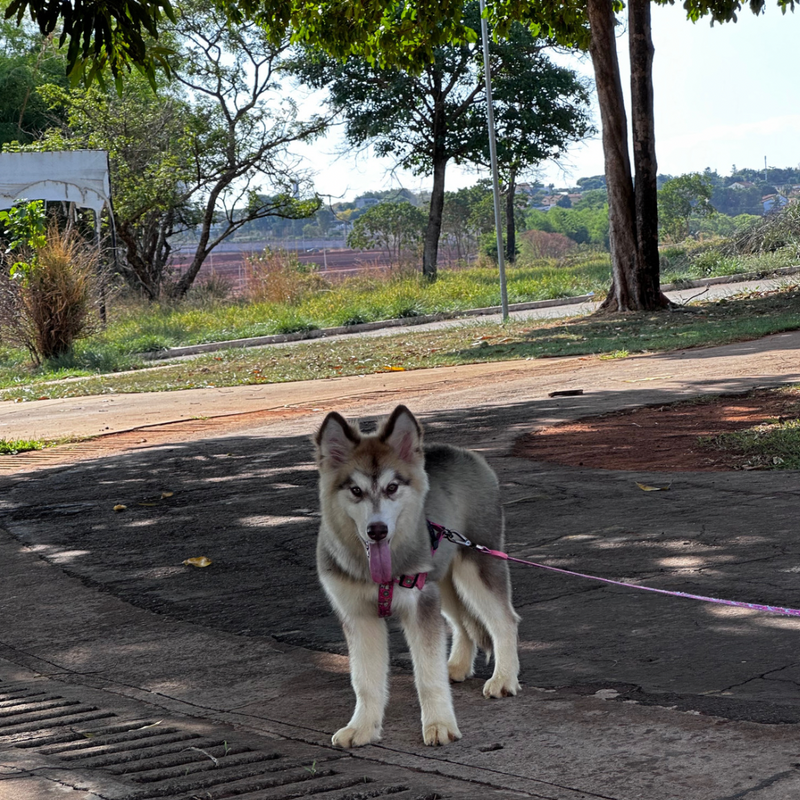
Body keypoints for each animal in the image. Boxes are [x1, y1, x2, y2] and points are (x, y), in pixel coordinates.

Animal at [312, 406, 520, 752]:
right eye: (356, 490)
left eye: (392, 488)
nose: (377, 530)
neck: (380, 572)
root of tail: (460, 451)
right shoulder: (358, 615)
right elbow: (365, 680)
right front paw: (362, 728)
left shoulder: (420, 605)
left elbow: (427, 675)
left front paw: (439, 725)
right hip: (442, 581)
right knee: (462, 623)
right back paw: (457, 666)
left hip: (477, 566)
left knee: (504, 619)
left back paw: (504, 678)